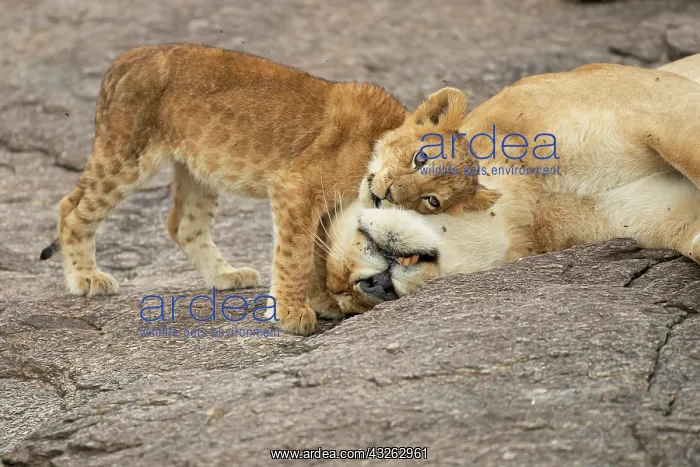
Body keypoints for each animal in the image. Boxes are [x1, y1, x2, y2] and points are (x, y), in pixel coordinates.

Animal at [315, 54, 700, 316]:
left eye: (361, 232)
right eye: (353, 305)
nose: (372, 285)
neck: (532, 195)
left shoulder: (661, 104)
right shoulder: (659, 215)